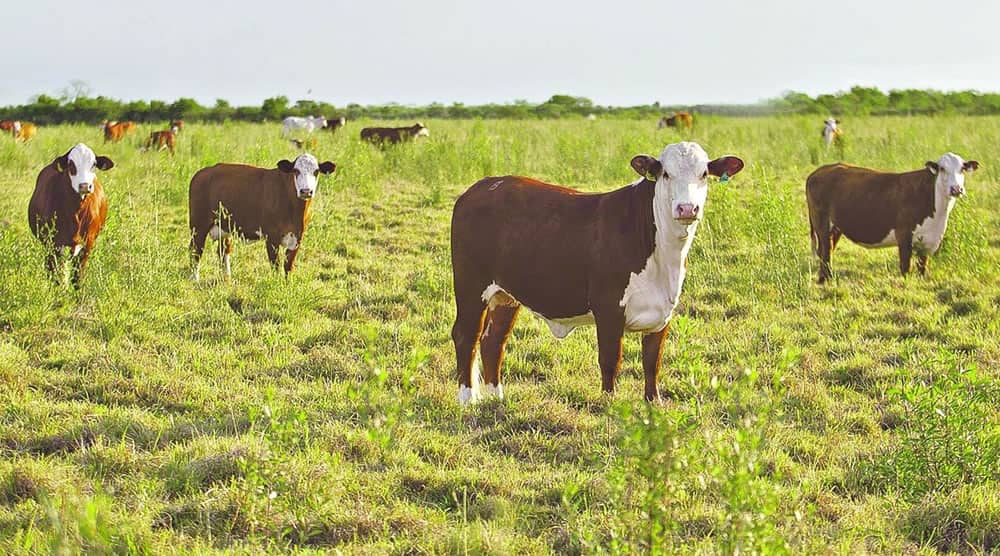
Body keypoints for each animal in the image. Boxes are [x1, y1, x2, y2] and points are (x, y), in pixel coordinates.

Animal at [27, 143, 114, 286]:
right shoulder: (54, 243)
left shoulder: (88, 243)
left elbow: (77, 278)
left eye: (94, 164)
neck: (77, 211)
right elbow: (57, 275)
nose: (84, 186)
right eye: (71, 164)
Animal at [189, 151, 338, 278]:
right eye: (296, 171)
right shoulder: (271, 237)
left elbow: (288, 267)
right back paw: (195, 280)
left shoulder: (298, 238)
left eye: (316, 171)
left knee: (223, 251)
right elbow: (275, 266)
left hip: (225, 227)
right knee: (196, 251)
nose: (306, 191)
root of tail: (203, 172)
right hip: (198, 225)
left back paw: (227, 279)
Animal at [448, 143, 744, 404]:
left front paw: (654, 403)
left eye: (703, 173)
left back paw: (495, 398)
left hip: (505, 295)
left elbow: (652, 362)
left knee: (493, 340)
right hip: (471, 285)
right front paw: (609, 403)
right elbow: (611, 360)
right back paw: (467, 399)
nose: (687, 208)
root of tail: (482, 186)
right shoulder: (609, 308)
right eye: (666, 174)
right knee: (466, 335)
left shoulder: (663, 313)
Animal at [804, 152, 976, 282]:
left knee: (827, 250)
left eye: (962, 168)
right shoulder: (904, 236)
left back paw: (826, 279)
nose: (956, 189)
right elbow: (905, 268)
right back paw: (825, 280)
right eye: (942, 169)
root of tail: (818, 172)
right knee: (825, 252)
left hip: (836, 227)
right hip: (821, 223)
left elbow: (922, 268)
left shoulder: (927, 242)